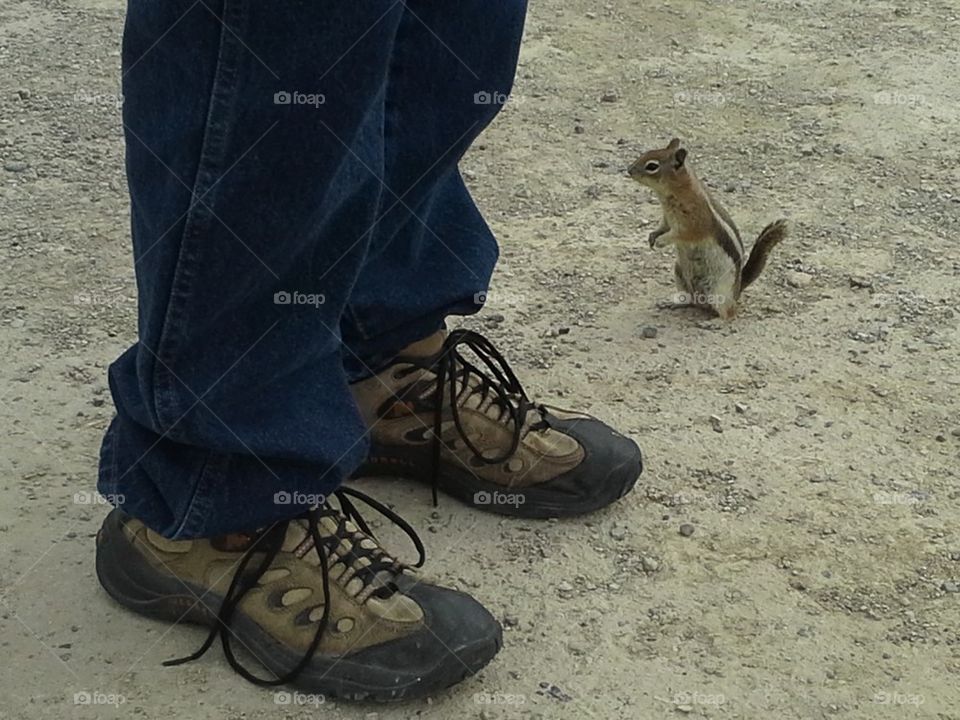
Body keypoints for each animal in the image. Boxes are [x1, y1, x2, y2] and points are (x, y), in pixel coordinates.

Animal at [628, 138, 787, 320]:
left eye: (652, 166)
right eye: (646, 153)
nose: (629, 170)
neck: (674, 195)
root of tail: (738, 290)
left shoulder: (694, 223)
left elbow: (682, 234)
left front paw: (662, 240)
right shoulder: (667, 219)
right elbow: (662, 227)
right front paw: (652, 236)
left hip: (718, 289)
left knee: (729, 313)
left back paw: (714, 321)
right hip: (679, 273)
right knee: (690, 299)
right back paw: (672, 303)